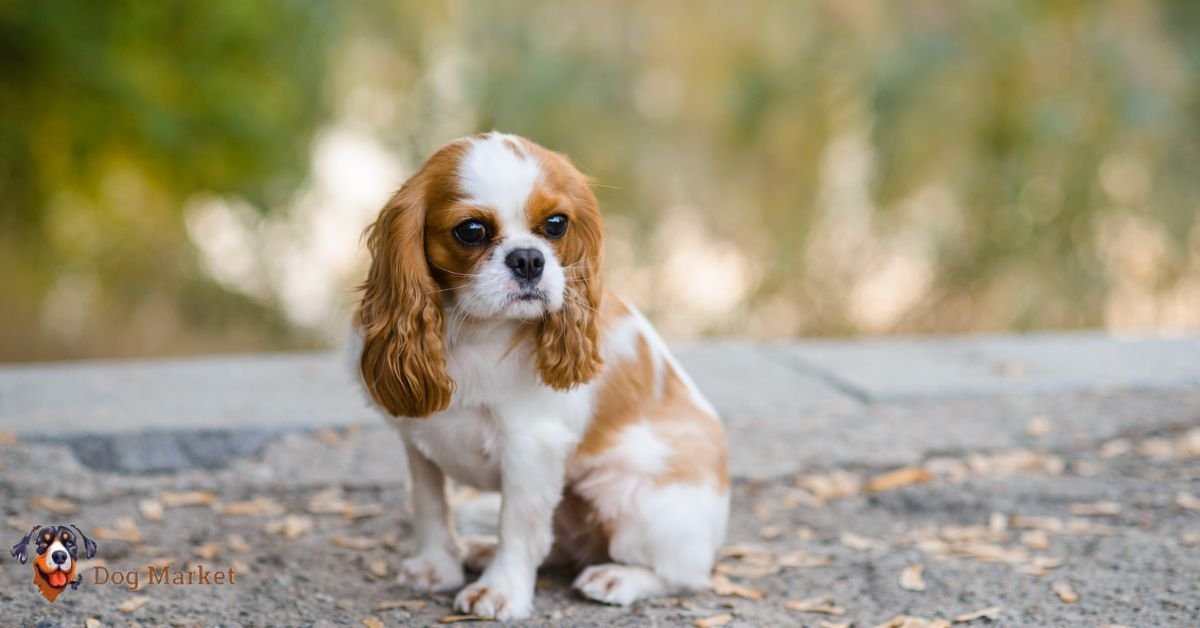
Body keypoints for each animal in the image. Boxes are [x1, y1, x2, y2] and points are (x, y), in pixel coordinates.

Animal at [352, 131, 729, 619]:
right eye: (471, 231)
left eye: (555, 224)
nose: (529, 258)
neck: (471, 330)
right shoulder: (418, 440)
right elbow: (430, 506)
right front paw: (436, 567)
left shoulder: (530, 447)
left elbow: (518, 525)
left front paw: (500, 591)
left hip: (633, 500)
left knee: (684, 575)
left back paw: (619, 577)